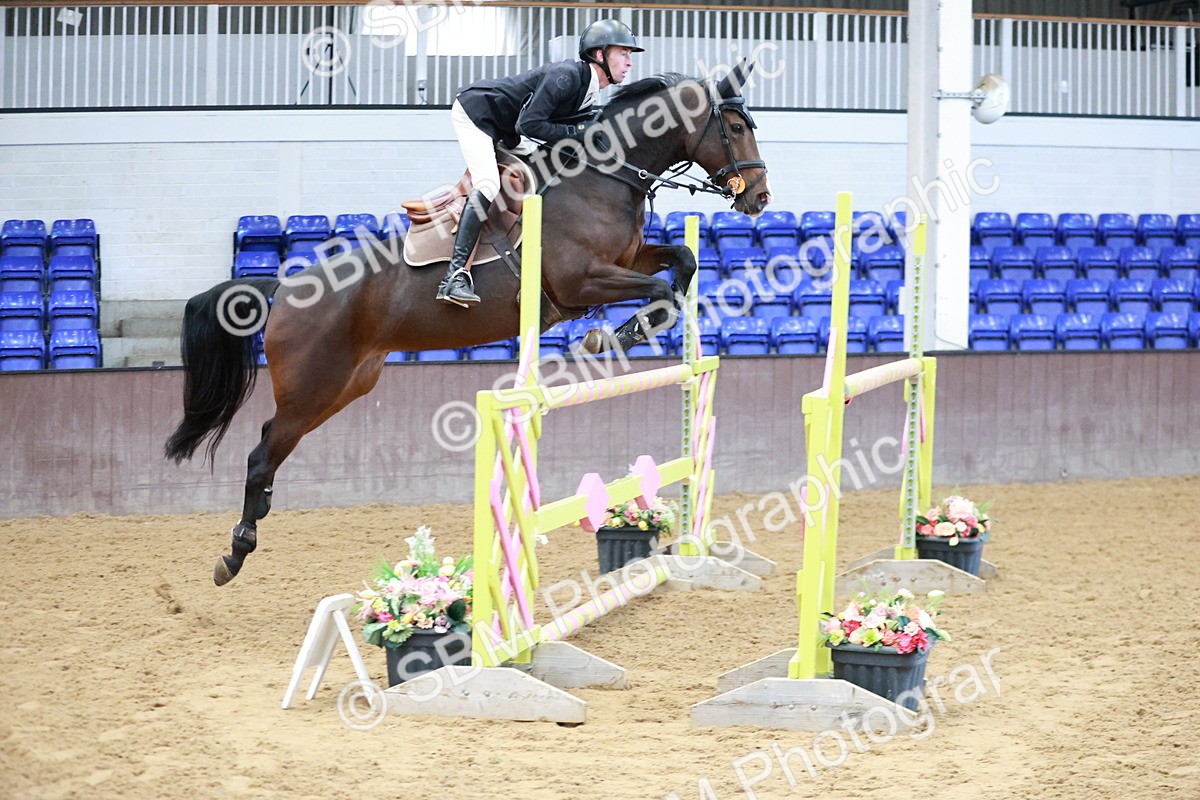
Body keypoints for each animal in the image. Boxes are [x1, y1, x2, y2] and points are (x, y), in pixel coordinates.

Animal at [164, 63, 772, 587]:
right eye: (736, 126)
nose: (761, 198)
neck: (600, 178)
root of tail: (284, 290)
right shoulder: (580, 283)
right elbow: (663, 291)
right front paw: (616, 334)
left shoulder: (627, 260)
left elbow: (681, 263)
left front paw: (625, 331)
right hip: (313, 386)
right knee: (260, 454)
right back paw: (235, 552)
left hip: (345, 386)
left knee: (272, 441)